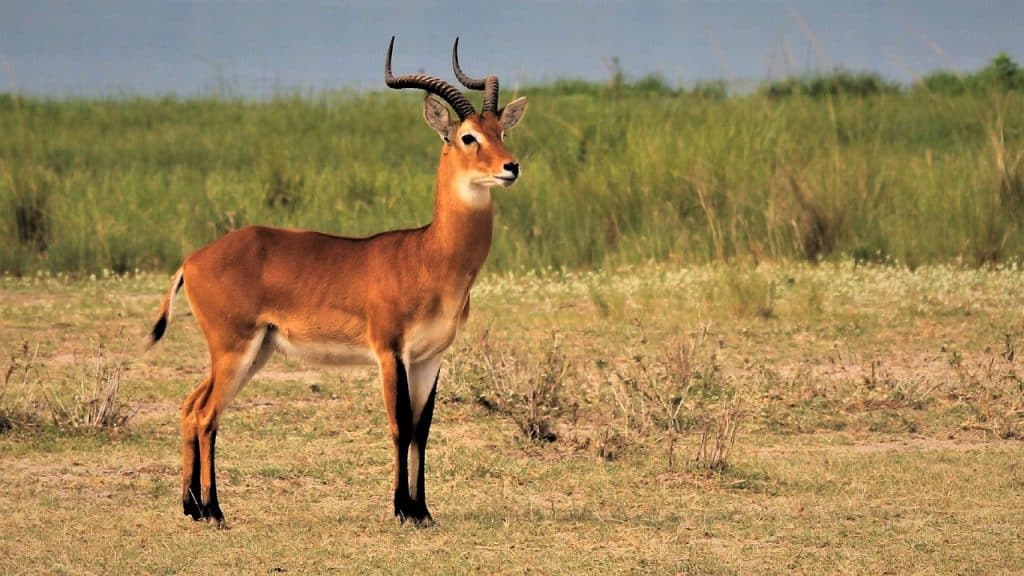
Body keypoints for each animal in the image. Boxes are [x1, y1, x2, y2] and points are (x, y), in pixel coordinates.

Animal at [148, 36, 532, 524]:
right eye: (469, 137)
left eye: (502, 131)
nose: (511, 167)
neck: (429, 255)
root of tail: (192, 260)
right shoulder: (390, 352)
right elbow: (399, 425)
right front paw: (401, 509)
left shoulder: (430, 357)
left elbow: (422, 430)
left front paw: (423, 511)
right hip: (234, 350)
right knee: (206, 415)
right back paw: (214, 511)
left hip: (253, 352)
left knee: (190, 405)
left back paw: (191, 507)